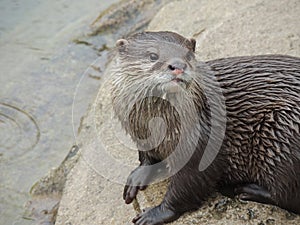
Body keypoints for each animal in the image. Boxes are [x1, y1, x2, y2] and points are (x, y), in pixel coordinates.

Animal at [110, 31, 300, 225]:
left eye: (188, 55)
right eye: (152, 55)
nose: (178, 66)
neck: (155, 127)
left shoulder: (201, 145)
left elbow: (188, 186)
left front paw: (154, 214)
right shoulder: (140, 134)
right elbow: (147, 157)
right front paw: (138, 176)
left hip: (282, 133)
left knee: (287, 195)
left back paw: (245, 190)